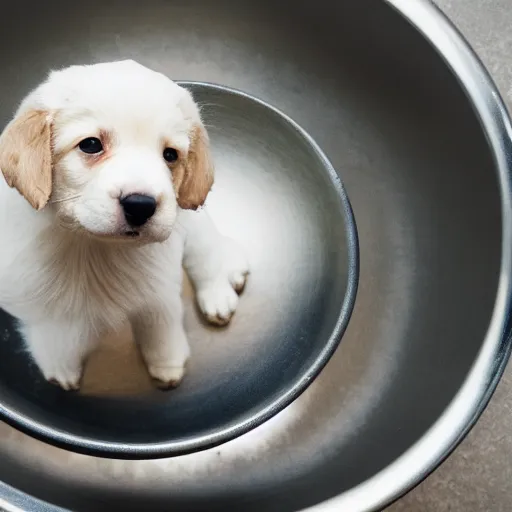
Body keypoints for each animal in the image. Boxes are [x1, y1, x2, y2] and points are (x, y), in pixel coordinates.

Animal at [0, 59, 249, 388]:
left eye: (170, 154)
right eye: (91, 144)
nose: (141, 205)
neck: (92, 248)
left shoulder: (158, 292)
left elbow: (161, 328)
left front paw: (167, 364)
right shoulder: (41, 303)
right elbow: (55, 338)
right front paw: (61, 368)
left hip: (197, 230)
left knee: (207, 259)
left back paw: (219, 291)